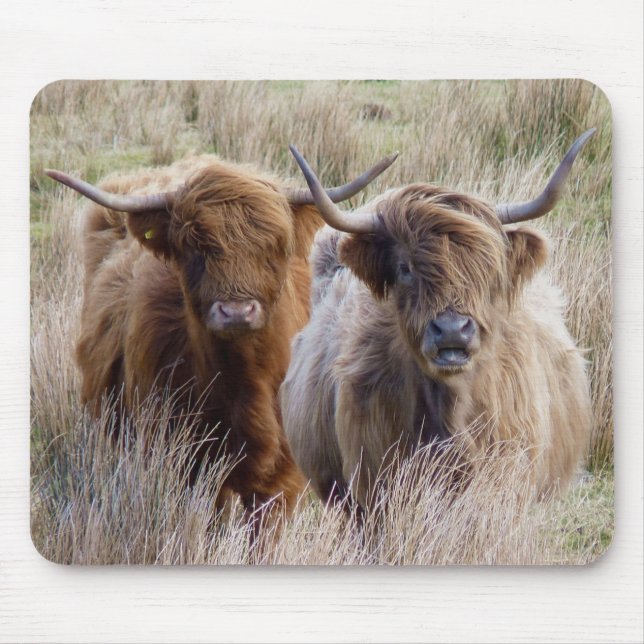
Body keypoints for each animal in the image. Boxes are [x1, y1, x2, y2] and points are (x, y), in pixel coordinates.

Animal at [45, 151, 397, 525]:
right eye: (194, 247)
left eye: (275, 246)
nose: (237, 311)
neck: (245, 383)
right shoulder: (191, 466)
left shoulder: (280, 480)